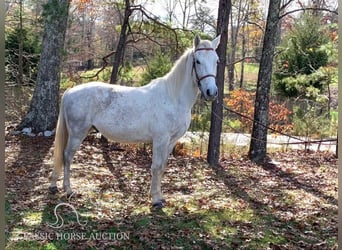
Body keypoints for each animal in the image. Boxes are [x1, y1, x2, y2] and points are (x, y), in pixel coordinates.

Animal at [49, 34, 222, 207]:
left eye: (217, 60)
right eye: (197, 61)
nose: (211, 92)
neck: (173, 97)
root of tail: (70, 91)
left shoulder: (171, 141)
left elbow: (162, 166)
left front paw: (160, 196)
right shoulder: (160, 139)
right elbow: (156, 167)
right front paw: (155, 199)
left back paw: (54, 186)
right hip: (77, 133)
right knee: (67, 156)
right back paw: (68, 189)